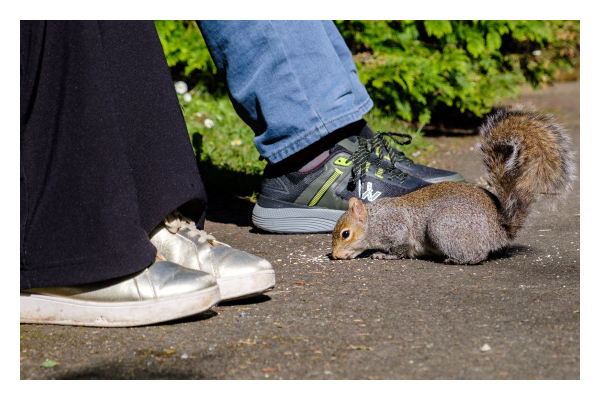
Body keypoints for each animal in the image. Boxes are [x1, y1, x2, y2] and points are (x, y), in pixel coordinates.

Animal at [332, 104, 576, 264]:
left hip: (442, 226)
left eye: (345, 234)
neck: (373, 221)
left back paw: (453, 259)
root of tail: (500, 230)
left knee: (477, 256)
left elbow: (399, 249)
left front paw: (383, 255)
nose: (334, 255)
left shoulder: (396, 229)